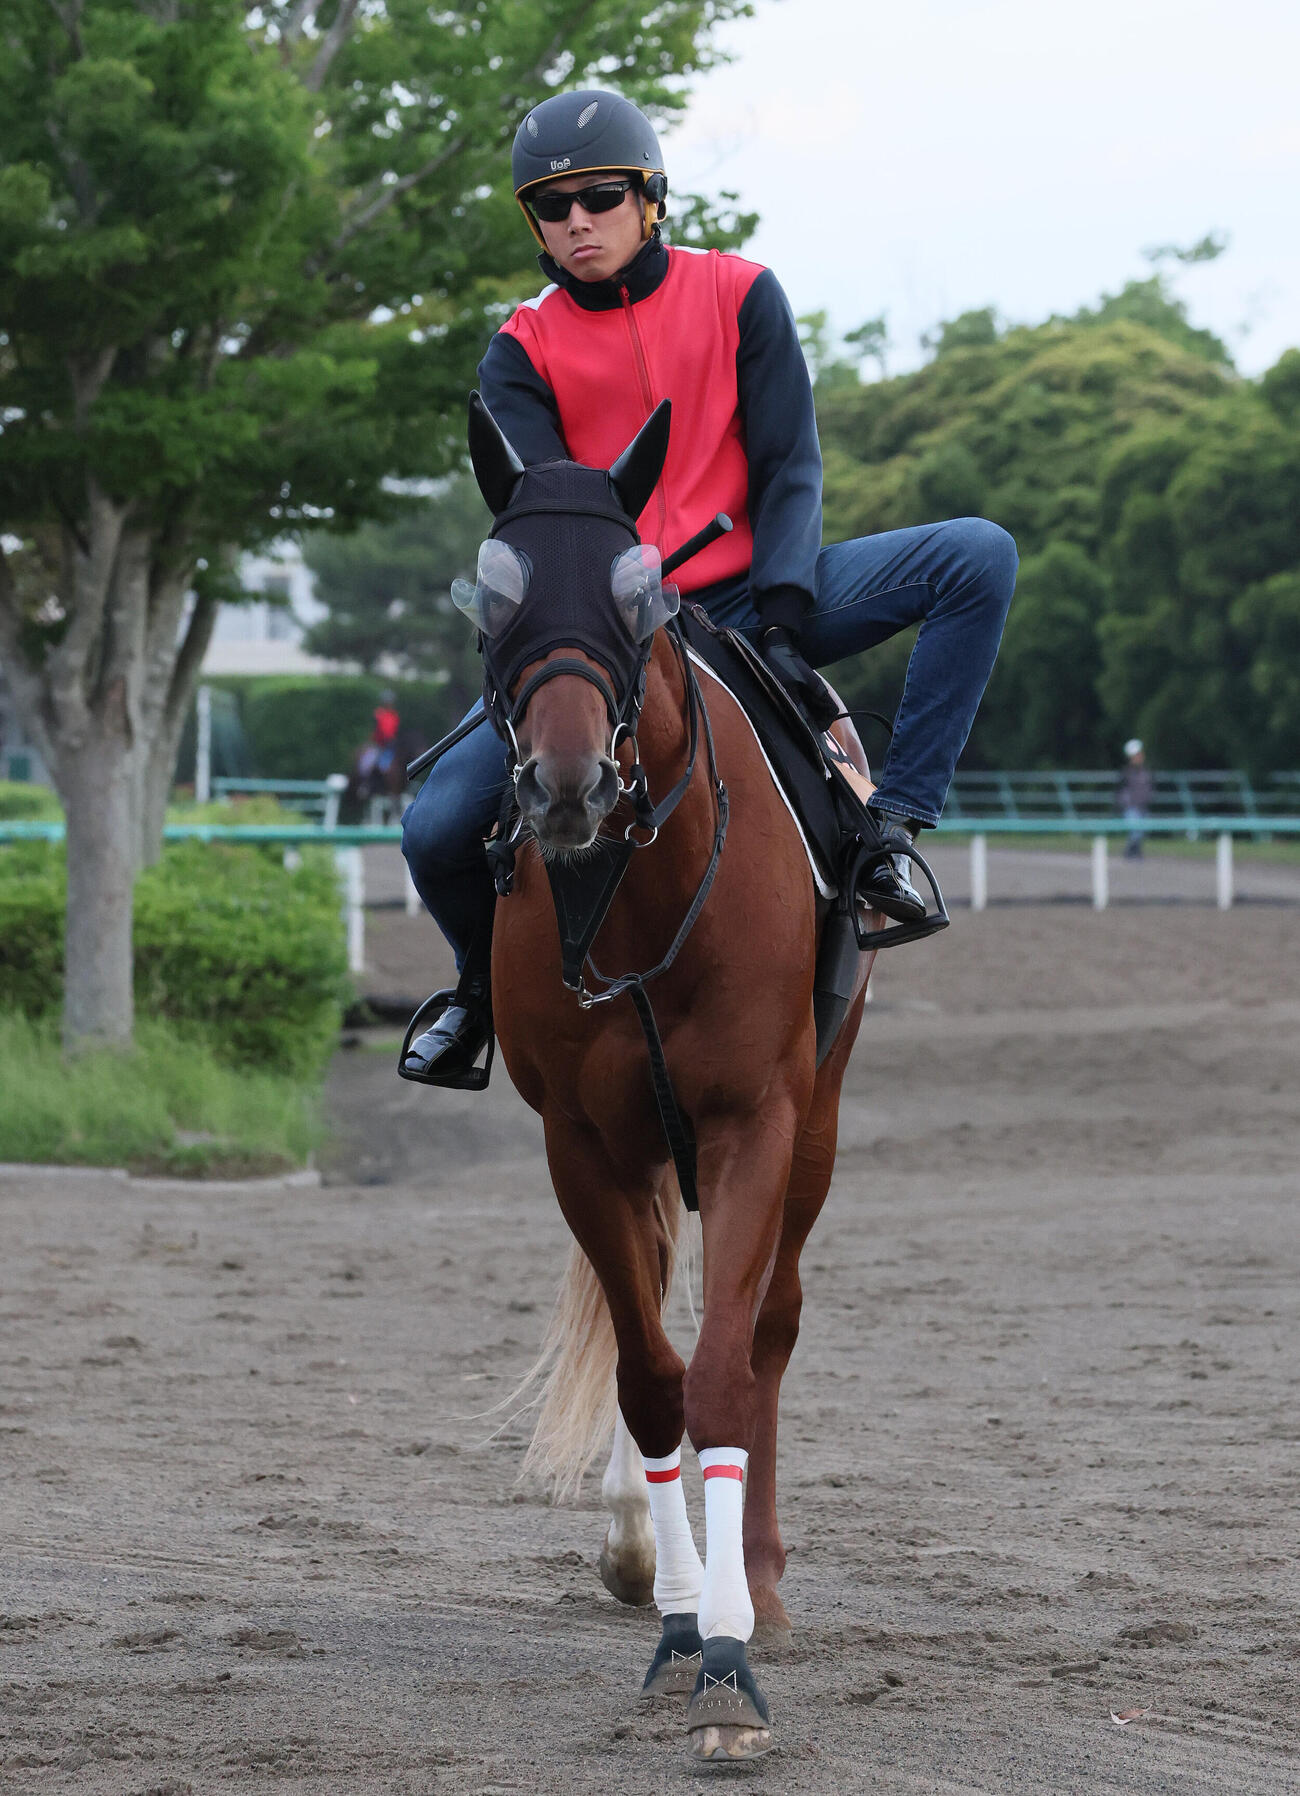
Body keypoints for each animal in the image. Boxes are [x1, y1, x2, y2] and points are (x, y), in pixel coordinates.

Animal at [456, 393, 875, 1764]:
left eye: (640, 597)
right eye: (492, 598)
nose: (567, 781)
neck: (634, 893)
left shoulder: (754, 1121)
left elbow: (728, 1370)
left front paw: (734, 1648)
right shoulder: (581, 1144)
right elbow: (649, 1377)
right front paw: (680, 1619)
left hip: (816, 1123)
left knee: (772, 1325)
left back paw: (767, 1580)